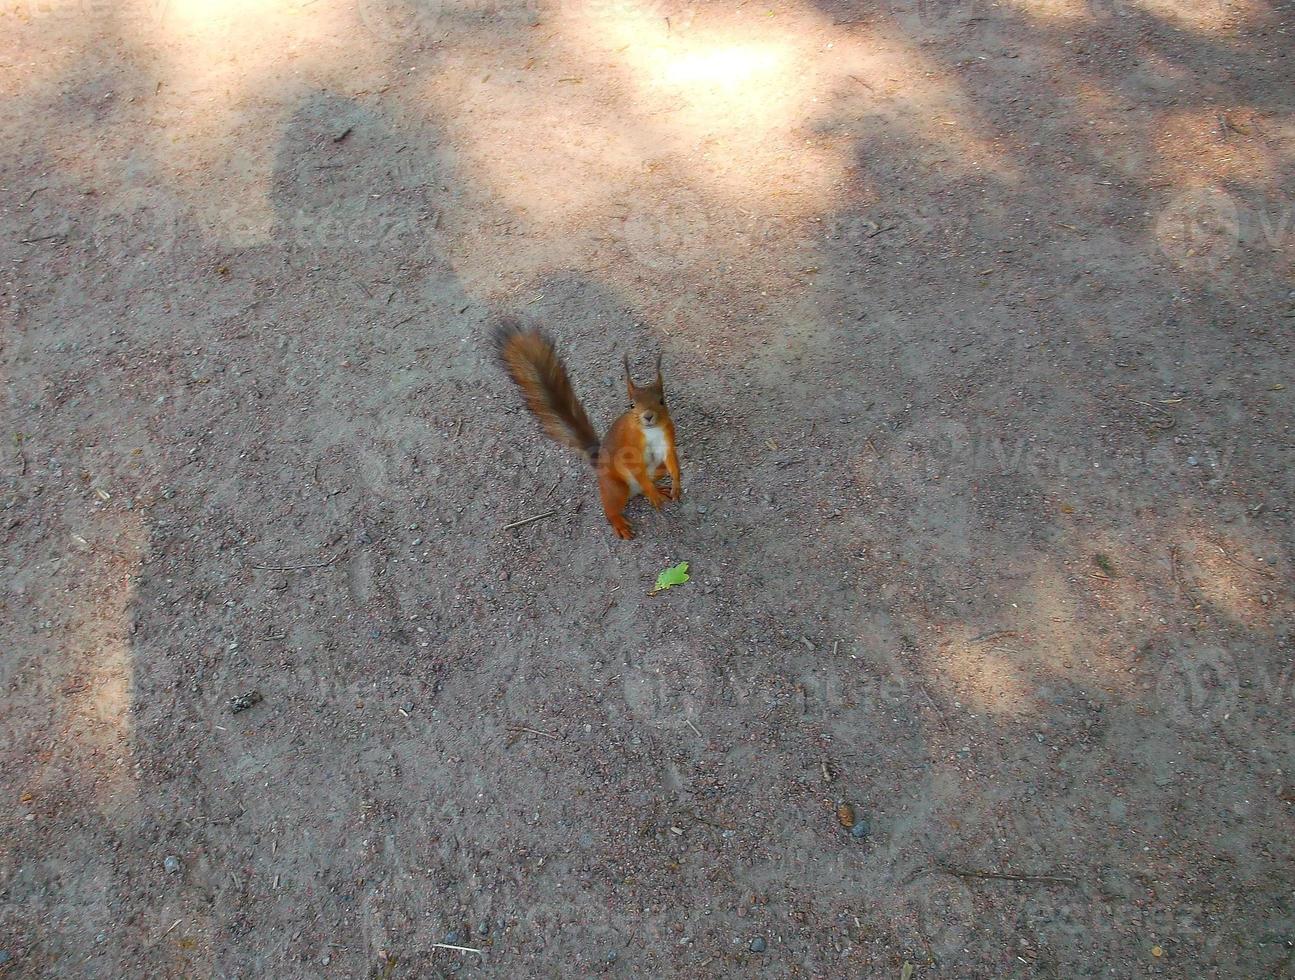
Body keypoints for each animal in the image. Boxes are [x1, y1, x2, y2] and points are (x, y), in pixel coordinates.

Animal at [492, 317, 683, 538]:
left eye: (662, 401)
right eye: (631, 405)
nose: (648, 416)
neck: (650, 432)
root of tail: (599, 463)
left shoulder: (667, 436)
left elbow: (672, 460)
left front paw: (676, 485)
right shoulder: (630, 445)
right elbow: (634, 466)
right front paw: (653, 492)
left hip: (657, 470)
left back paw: (659, 489)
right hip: (616, 487)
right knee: (611, 508)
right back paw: (622, 520)